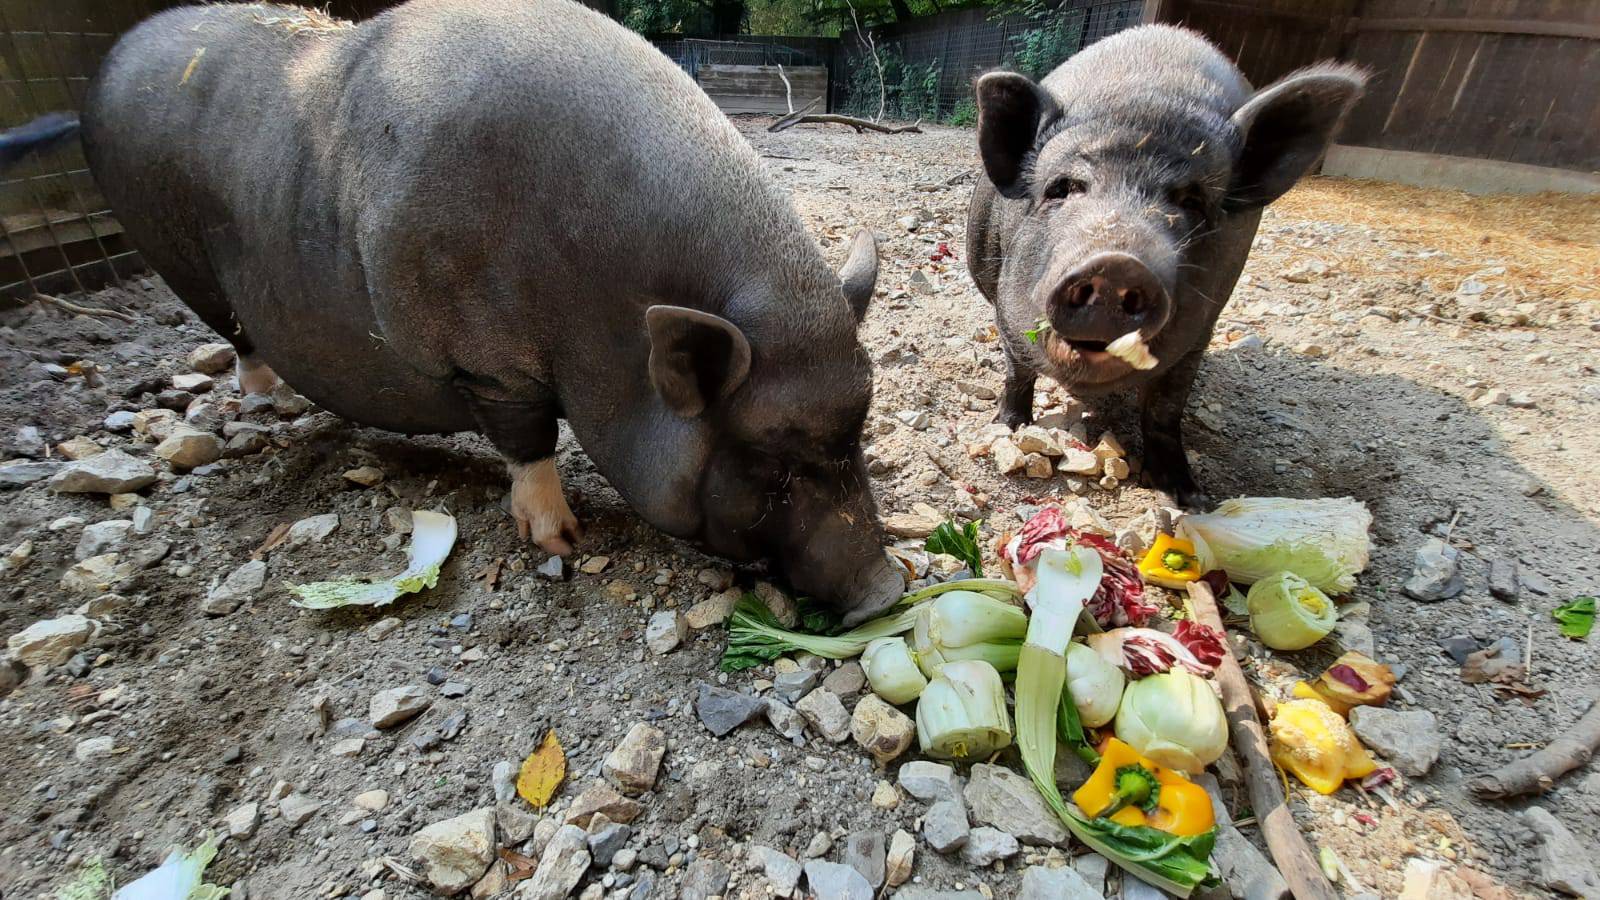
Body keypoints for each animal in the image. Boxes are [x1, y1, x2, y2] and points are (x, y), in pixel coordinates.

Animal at [72, 0, 902, 614]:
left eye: (856, 437)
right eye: (770, 462)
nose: (886, 590)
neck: (598, 310)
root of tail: (117, 55)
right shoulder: (486, 363)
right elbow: (528, 441)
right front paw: (561, 542)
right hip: (179, 263)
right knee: (239, 339)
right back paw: (264, 406)